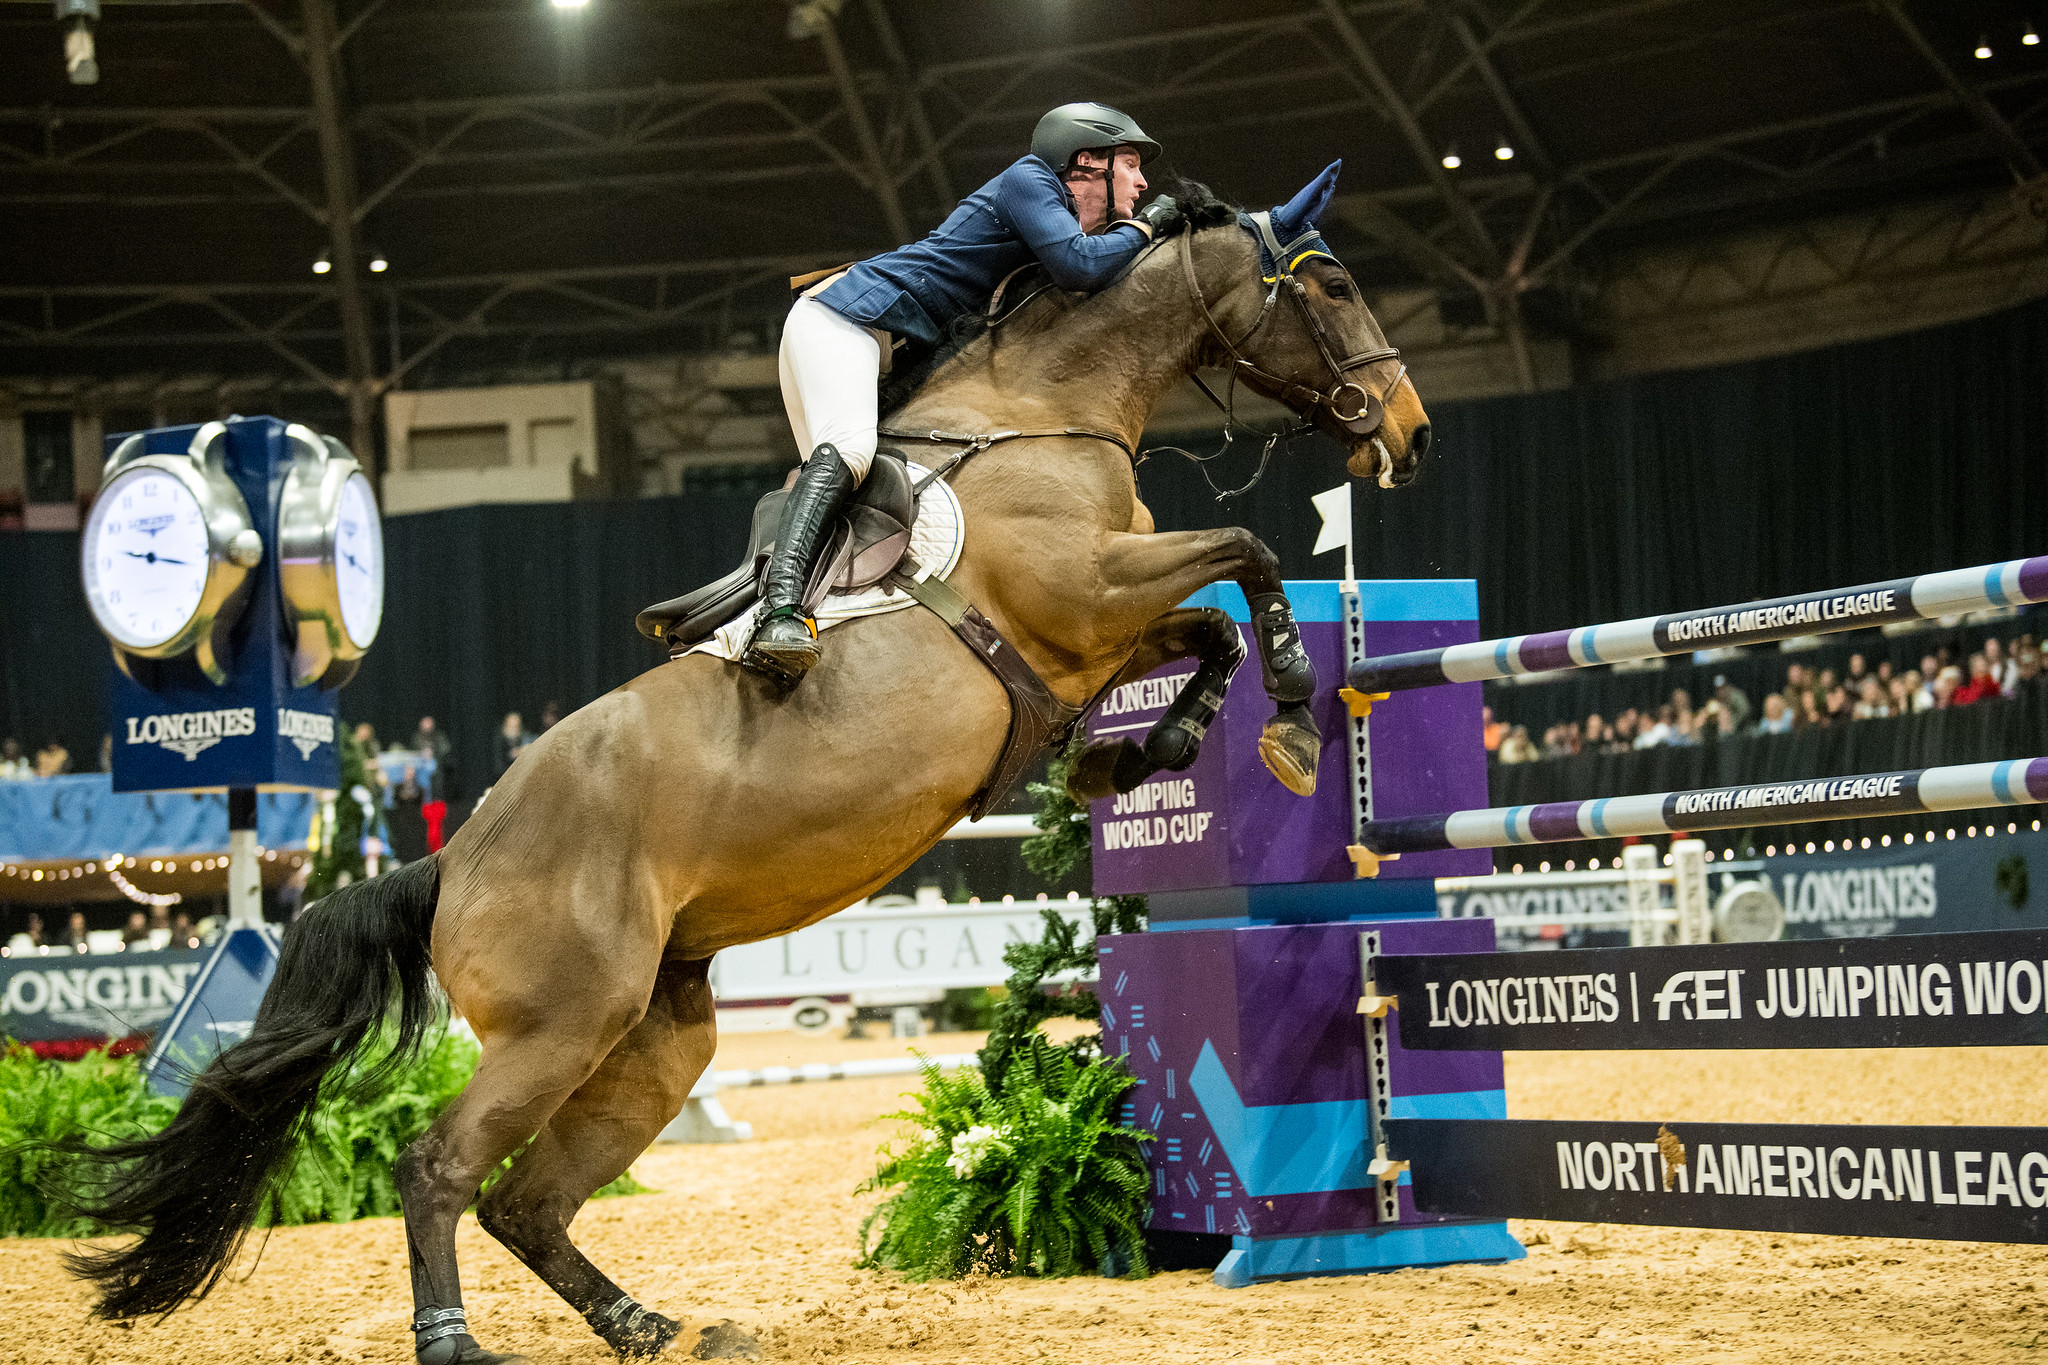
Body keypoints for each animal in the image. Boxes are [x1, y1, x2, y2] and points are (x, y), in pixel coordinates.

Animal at [68, 173, 1441, 1365]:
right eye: (1329, 285)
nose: (1411, 437)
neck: (1035, 418)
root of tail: (450, 860)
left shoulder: (1100, 632)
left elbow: (1208, 627)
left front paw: (1153, 750)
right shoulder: (1084, 596)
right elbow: (1249, 553)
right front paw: (1292, 718)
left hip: (655, 1039)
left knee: (527, 1201)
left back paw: (648, 1326)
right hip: (559, 1026)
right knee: (442, 1168)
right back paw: (453, 1342)